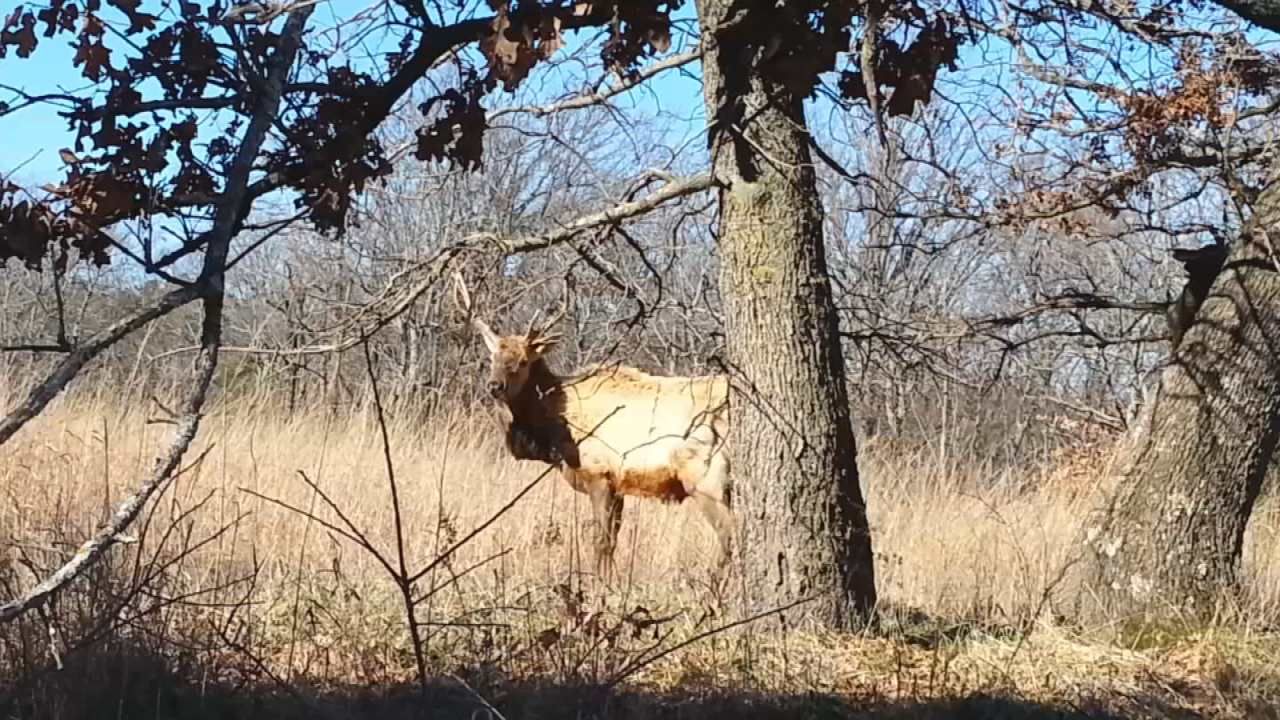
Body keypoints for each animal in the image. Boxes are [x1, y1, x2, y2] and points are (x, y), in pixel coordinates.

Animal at [452, 273, 733, 578]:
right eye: (492, 358)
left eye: (523, 361)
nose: (495, 386)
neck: (553, 439)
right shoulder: (618, 485)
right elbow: (612, 541)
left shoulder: (599, 474)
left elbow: (602, 541)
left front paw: (598, 582)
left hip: (706, 477)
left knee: (730, 536)